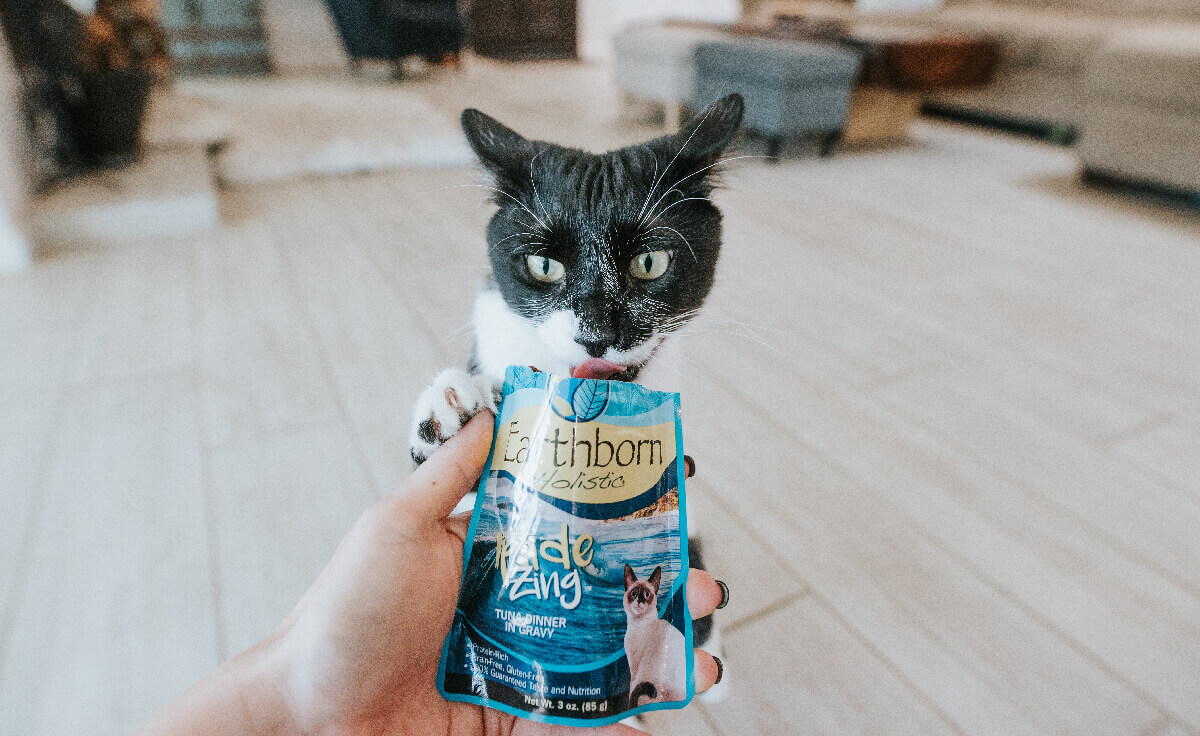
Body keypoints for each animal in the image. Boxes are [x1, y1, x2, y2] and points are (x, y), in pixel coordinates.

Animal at [628, 561, 686, 705]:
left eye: (647, 594)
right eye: (634, 593)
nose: (639, 601)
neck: (637, 623)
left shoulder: (634, 665)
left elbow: (630, 692)